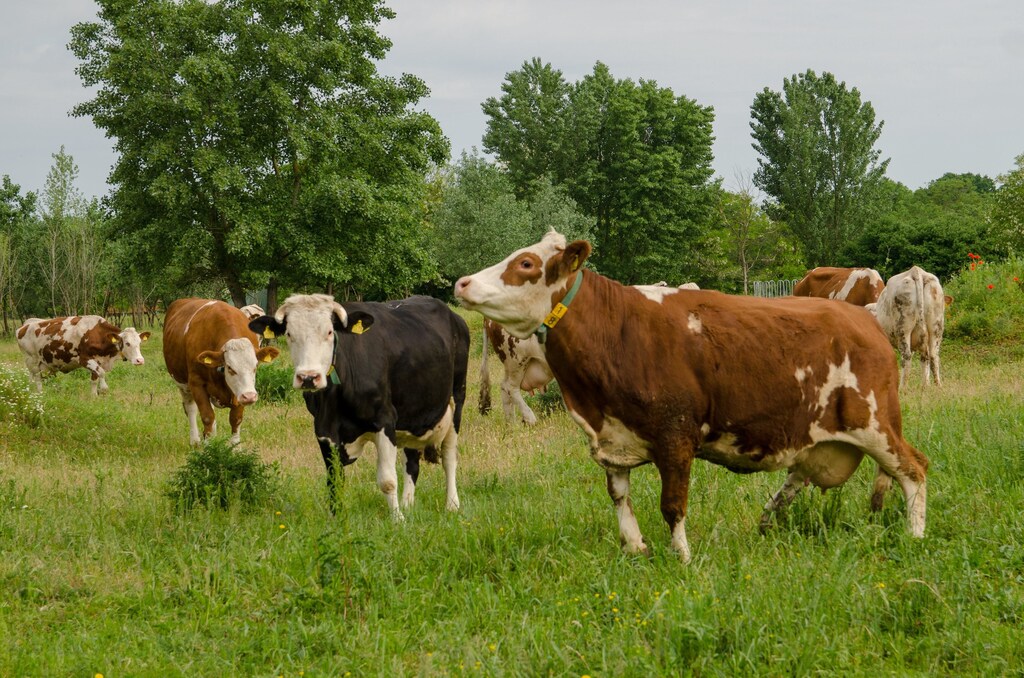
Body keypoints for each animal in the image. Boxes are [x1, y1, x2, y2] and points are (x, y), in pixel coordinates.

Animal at [16, 316, 150, 395]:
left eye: (139, 342)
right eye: (127, 343)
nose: (140, 360)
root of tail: (25, 325)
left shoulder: (98, 361)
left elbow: (94, 380)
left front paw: (94, 397)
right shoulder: (84, 359)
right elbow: (102, 373)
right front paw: (104, 388)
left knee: (32, 379)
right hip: (32, 360)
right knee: (38, 379)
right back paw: (40, 394)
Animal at [163, 299, 280, 445]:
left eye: (255, 366)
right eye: (230, 367)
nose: (250, 396)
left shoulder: (239, 392)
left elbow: (235, 419)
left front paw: (235, 447)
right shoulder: (196, 383)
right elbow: (207, 417)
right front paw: (208, 448)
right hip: (182, 384)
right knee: (190, 408)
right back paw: (195, 441)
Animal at [248, 294, 470, 518]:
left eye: (330, 332)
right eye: (289, 333)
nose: (308, 377)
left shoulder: (385, 420)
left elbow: (388, 480)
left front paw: (397, 519)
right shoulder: (323, 429)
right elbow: (334, 480)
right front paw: (336, 518)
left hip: (457, 399)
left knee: (449, 457)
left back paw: (452, 504)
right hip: (413, 412)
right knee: (412, 462)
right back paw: (408, 504)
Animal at [454, 231, 928, 562]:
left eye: (526, 263)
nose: (461, 282)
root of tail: (866, 322)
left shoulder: (676, 435)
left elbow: (672, 504)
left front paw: (680, 557)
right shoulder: (611, 437)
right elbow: (619, 495)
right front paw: (634, 548)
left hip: (874, 423)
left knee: (914, 469)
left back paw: (915, 535)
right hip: (818, 434)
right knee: (799, 476)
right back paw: (767, 519)